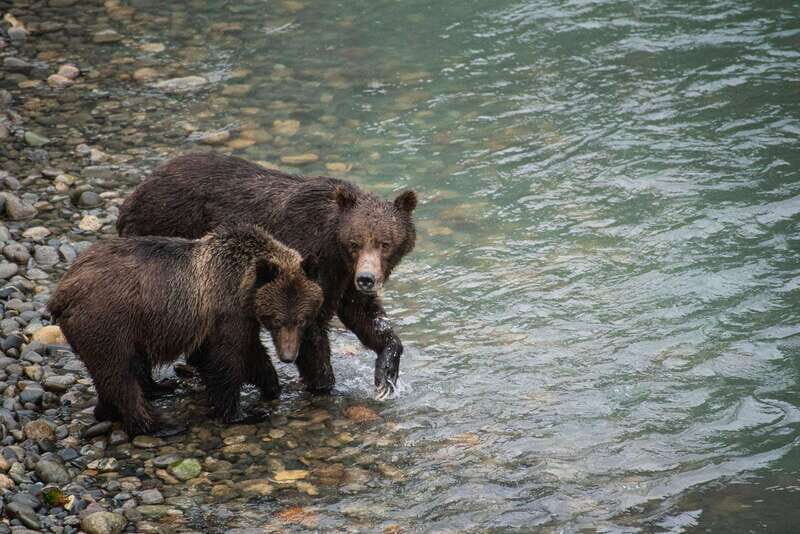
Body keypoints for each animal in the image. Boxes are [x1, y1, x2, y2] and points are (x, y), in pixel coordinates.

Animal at [47, 224, 323, 435]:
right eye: (277, 320)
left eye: (301, 319)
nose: (288, 356)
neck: (244, 289)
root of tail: (63, 290)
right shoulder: (225, 312)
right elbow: (227, 360)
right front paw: (241, 413)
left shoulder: (239, 318)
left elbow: (251, 352)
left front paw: (272, 386)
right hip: (108, 321)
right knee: (119, 373)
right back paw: (156, 425)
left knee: (116, 370)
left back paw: (125, 403)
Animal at [116, 152, 417, 399]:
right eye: (355, 243)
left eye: (385, 243)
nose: (367, 278)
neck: (334, 249)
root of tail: (133, 196)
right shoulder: (309, 259)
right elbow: (310, 328)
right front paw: (324, 383)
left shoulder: (343, 278)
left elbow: (365, 315)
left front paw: (385, 374)